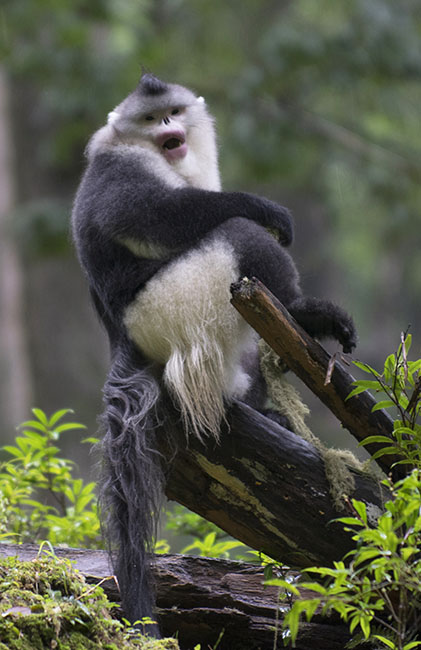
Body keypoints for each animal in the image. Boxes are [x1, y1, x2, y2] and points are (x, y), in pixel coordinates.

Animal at [71, 73, 357, 635]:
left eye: (174, 111)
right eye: (151, 117)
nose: (169, 126)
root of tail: (125, 343)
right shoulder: (122, 165)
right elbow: (152, 216)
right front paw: (268, 210)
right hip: (175, 305)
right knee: (236, 231)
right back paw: (305, 312)